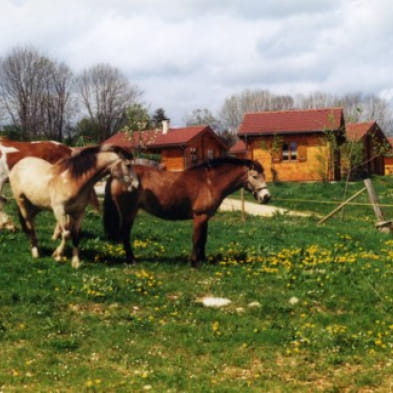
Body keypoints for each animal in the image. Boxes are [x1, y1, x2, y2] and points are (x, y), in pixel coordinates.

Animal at [9, 144, 138, 270]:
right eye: (128, 165)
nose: (136, 185)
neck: (72, 181)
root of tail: (19, 164)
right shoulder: (60, 210)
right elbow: (66, 233)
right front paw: (57, 255)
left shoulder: (79, 212)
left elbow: (75, 235)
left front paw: (75, 262)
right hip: (22, 202)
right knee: (29, 224)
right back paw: (36, 252)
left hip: (36, 205)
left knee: (31, 222)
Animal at [103, 156, 270, 266]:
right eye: (255, 176)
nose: (266, 197)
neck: (209, 182)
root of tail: (116, 175)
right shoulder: (199, 216)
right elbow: (196, 239)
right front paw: (194, 262)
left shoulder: (205, 217)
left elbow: (203, 239)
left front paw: (202, 260)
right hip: (128, 212)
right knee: (125, 234)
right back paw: (131, 260)